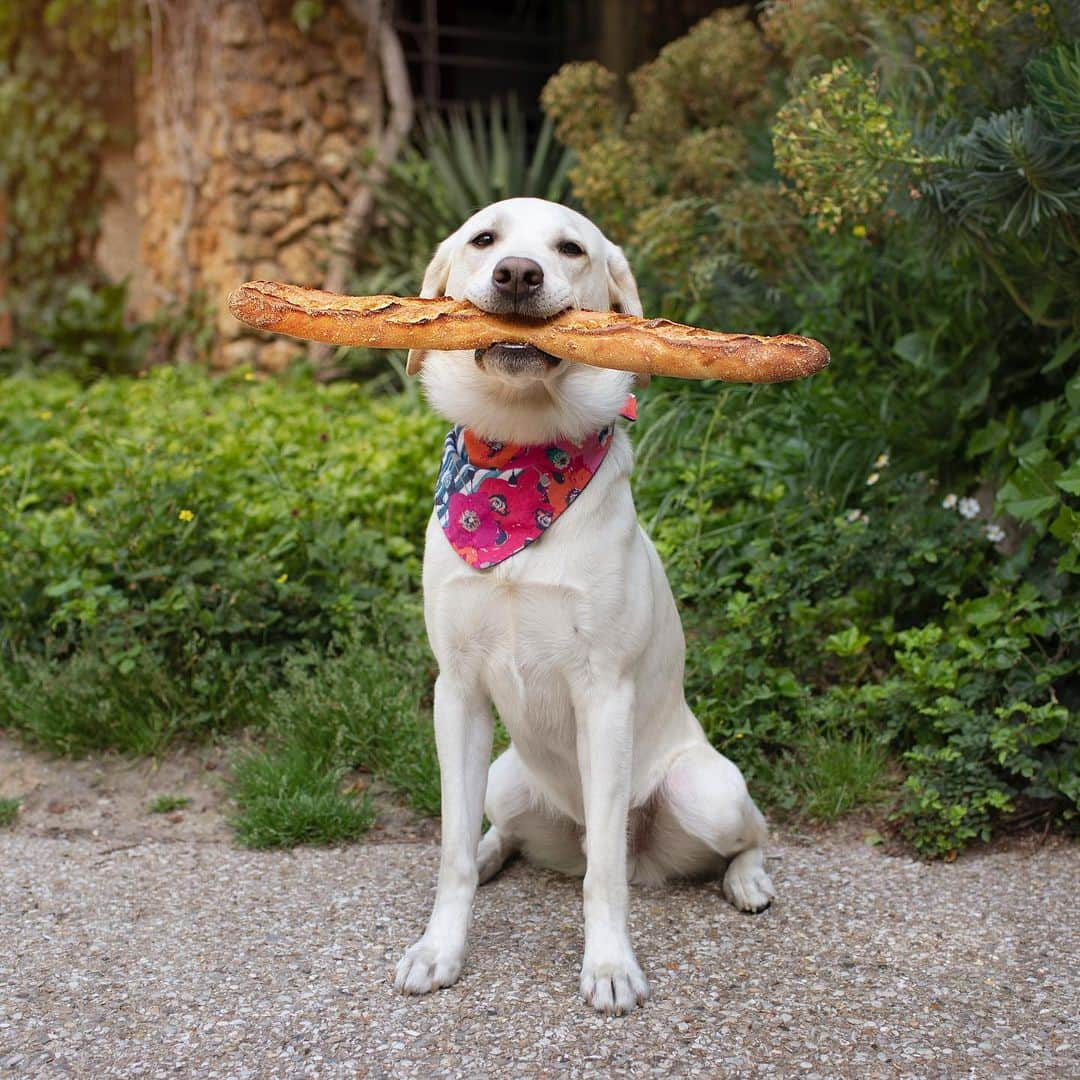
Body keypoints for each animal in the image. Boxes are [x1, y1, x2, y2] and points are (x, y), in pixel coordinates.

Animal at [393, 200, 773, 1010]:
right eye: (485, 240)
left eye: (570, 249)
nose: (518, 275)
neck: (518, 460)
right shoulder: (458, 692)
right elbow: (449, 853)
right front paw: (440, 950)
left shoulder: (603, 694)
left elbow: (604, 876)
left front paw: (608, 966)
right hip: (508, 779)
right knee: (499, 833)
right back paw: (494, 853)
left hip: (707, 790)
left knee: (742, 835)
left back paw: (749, 880)